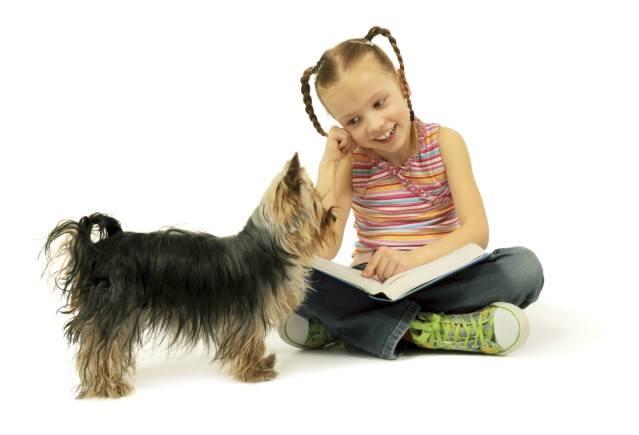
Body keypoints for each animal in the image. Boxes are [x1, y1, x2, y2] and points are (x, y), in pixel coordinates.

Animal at [41, 152, 336, 398]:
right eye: (316, 205)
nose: (333, 216)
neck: (271, 244)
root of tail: (97, 249)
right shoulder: (247, 312)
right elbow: (248, 340)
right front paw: (254, 371)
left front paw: (258, 365)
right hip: (114, 308)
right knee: (98, 347)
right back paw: (107, 386)